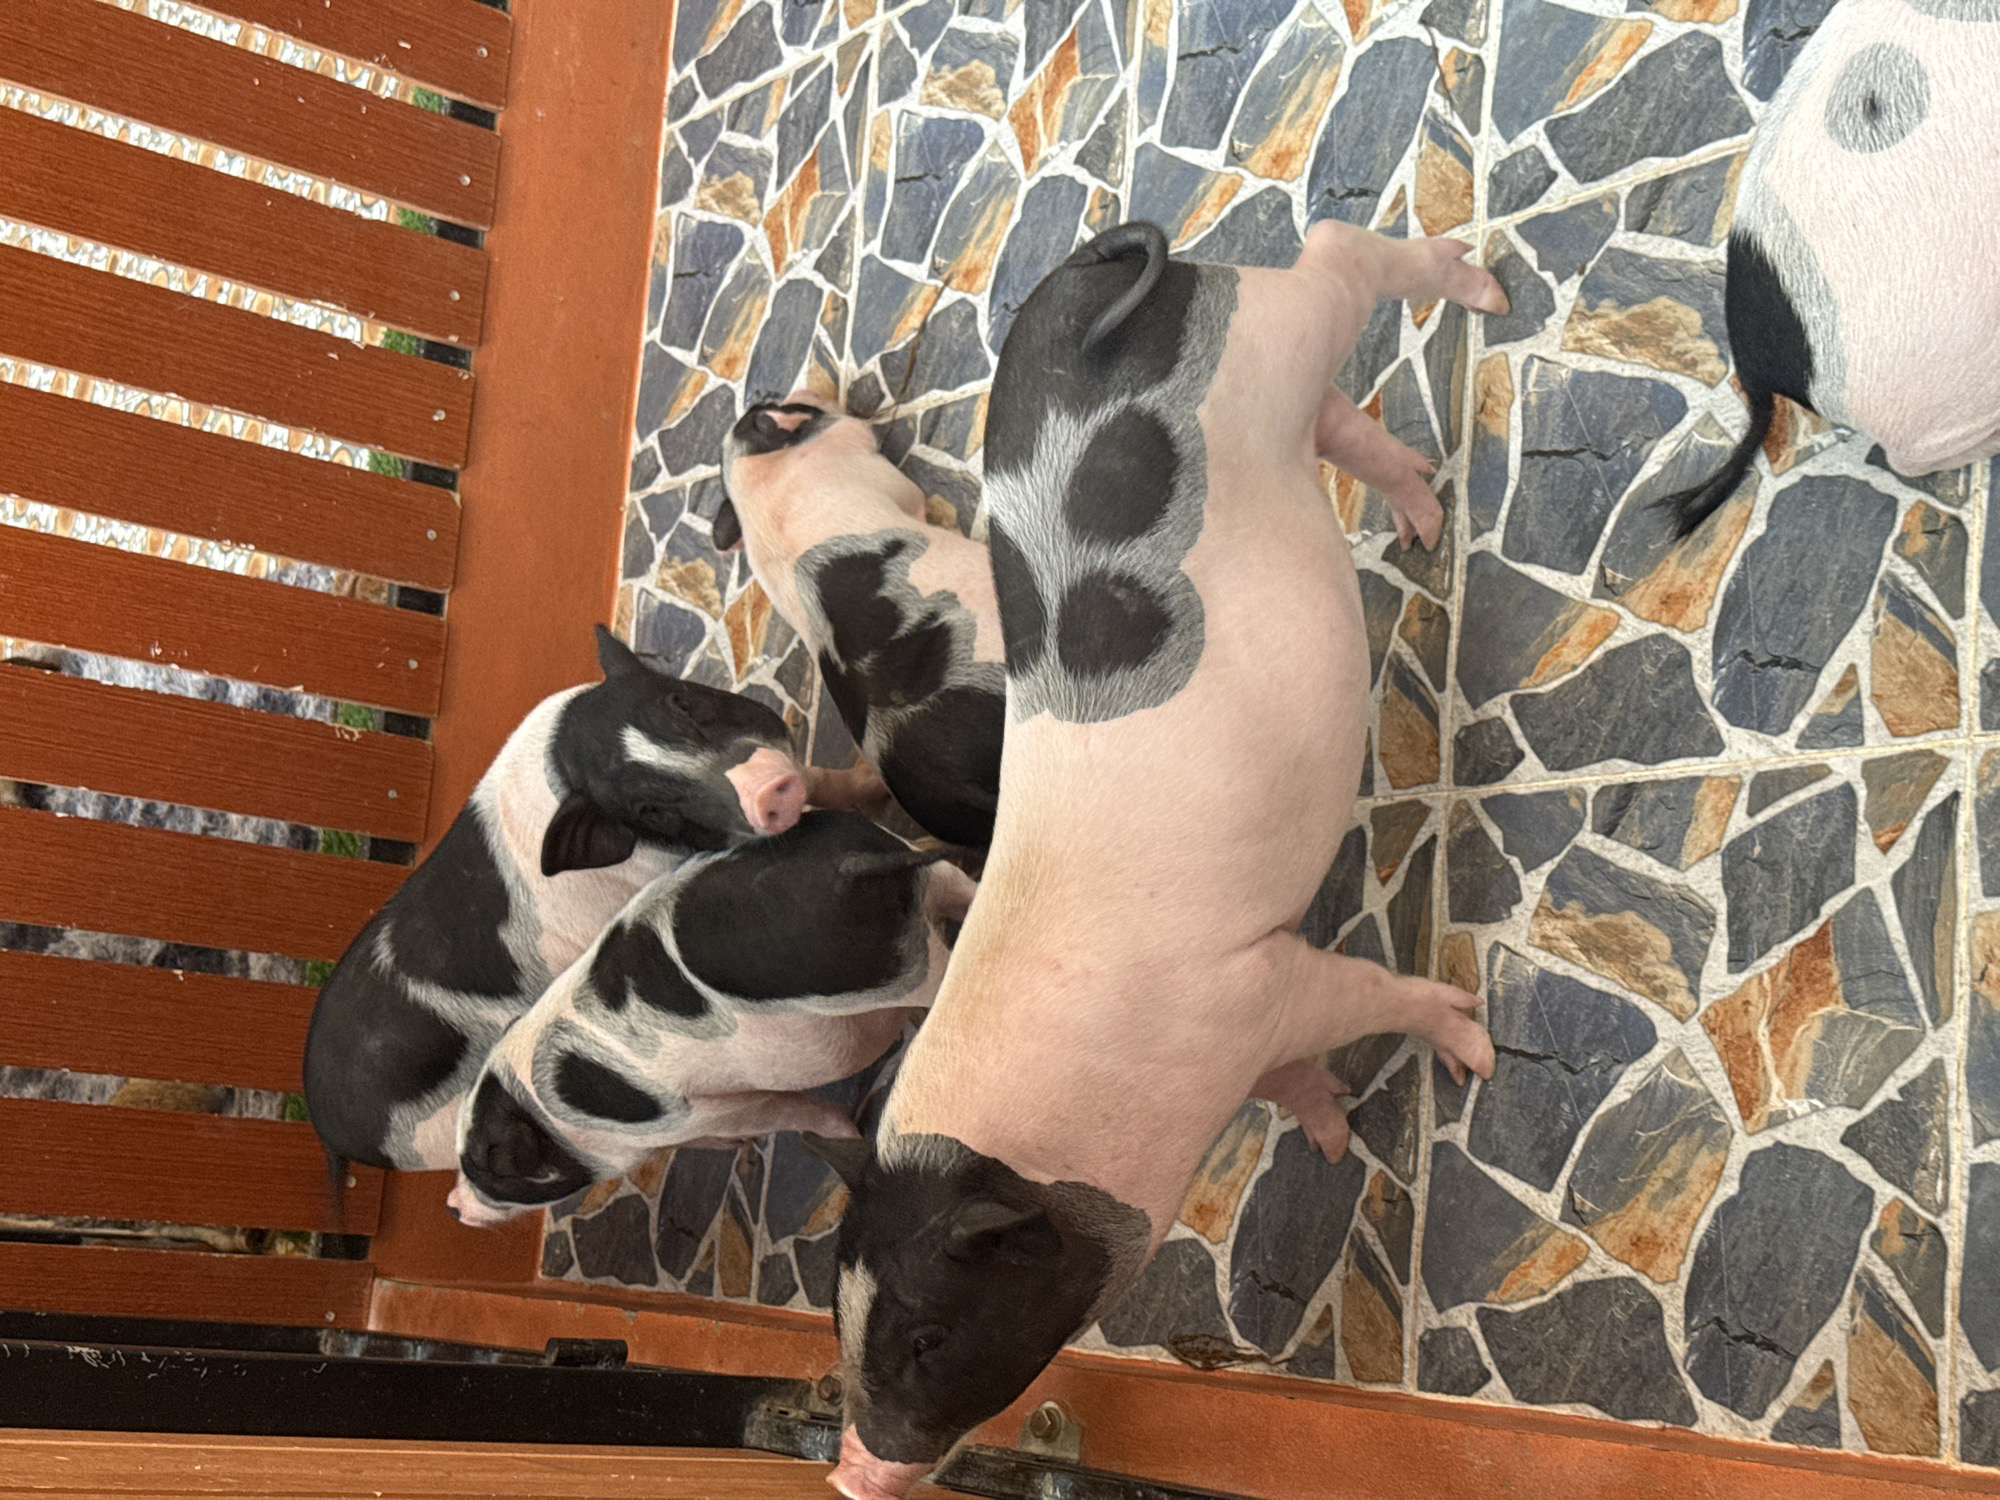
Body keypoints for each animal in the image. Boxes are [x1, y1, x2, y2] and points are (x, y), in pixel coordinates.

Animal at [303, 625, 874, 1177]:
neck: (562, 763)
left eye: (682, 700)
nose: (765, 788)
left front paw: (864, 777)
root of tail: (326, 1132)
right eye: (649, 808)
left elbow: (821, 779)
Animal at [446, 809, 975, 1224]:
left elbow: (795, 1113)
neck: (540, 1108)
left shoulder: (708, 1109)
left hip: (904, 972)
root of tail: (847, 865)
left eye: (488, 1172)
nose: (452, 1206)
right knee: (966, 890)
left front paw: (838, 1135)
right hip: (928, 877)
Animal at [806, 219, 1502, 1499]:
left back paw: (1483, 293)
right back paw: (1421, 524)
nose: (848, 1477)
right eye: (839, 1315)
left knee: (1338, 254)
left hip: (1278, 327)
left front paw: (1466, 1060)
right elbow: (1294, 1080)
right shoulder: (1250, 1028)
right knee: (1342, 421)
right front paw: (1331, 1132)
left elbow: (1373, 995)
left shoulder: (1261, 980)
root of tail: (1084, 283)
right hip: (1281, 389)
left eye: (928, 1333)